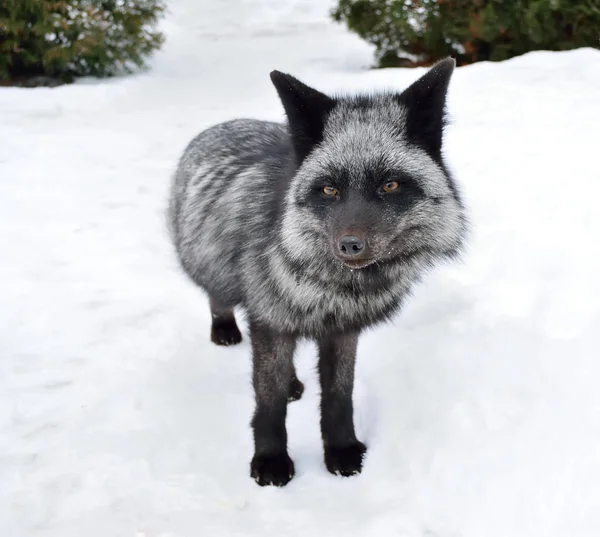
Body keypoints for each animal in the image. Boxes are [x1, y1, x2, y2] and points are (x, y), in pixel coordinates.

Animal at [169, 58, 468, 486]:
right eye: (329, 189)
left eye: (390, 185)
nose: (350, 245)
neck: (335, 290)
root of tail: (225, 123)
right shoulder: (270, 322)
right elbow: (269, 400)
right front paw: (271, 460)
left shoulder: (342, 331)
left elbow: (340, 396)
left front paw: (341, 450)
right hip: (214, 270)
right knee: (219, 296)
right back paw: (224, 328)